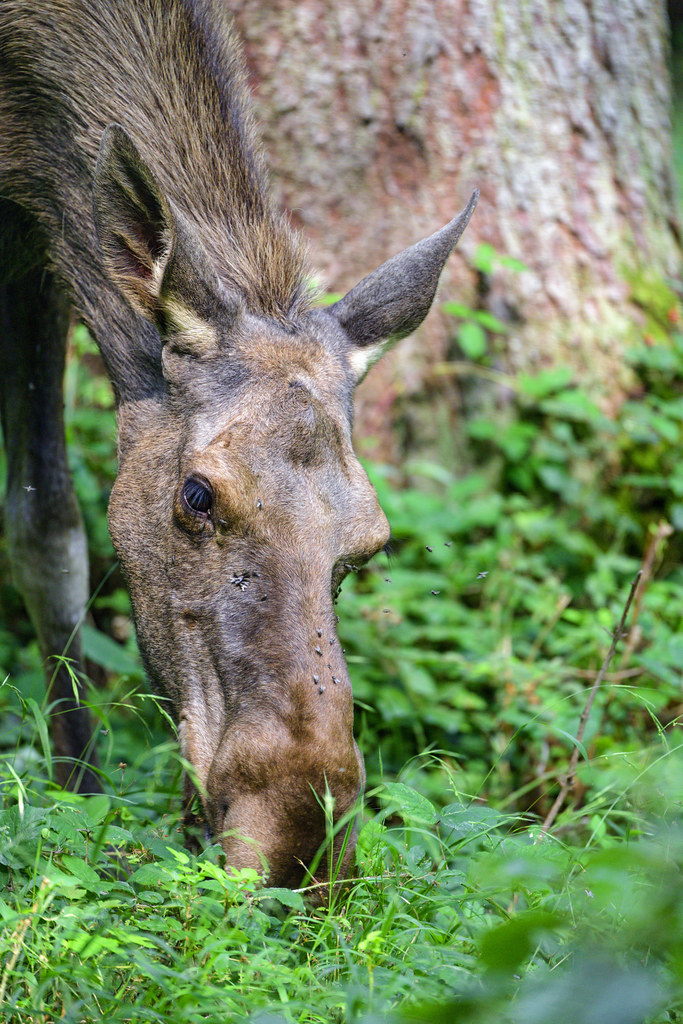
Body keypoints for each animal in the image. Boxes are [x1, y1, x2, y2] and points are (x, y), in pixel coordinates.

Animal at [0, 0, 477, 890]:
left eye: (370, 544)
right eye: (198, 493)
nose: (294, 841)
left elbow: (44, 523)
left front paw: (76, 784)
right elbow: (44, 524)